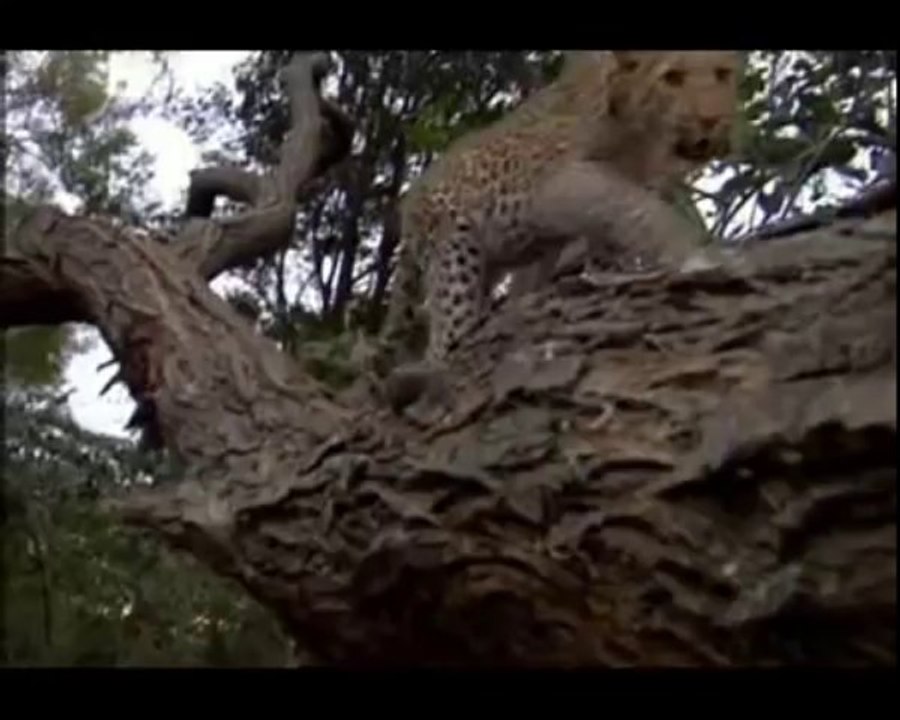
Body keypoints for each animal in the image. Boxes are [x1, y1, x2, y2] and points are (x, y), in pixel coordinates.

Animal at [370, 50, 742, 394]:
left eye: (723, 74)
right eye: (672, 78)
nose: (712, 120)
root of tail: (410, 200)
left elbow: (612, 234)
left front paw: (610, 272)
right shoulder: (560, 183)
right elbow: (636, 207)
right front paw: (693, 251)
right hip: (453, 256)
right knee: (446, 332)